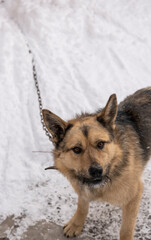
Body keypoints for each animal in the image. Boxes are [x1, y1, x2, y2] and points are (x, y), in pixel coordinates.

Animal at [42, 87, 151, 240]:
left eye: (100, 144)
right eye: (77, 149)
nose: (96, 171)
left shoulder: (134, 196)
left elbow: (126, 230)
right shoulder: (82, 187)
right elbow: (82, 206)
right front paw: (76, 224)